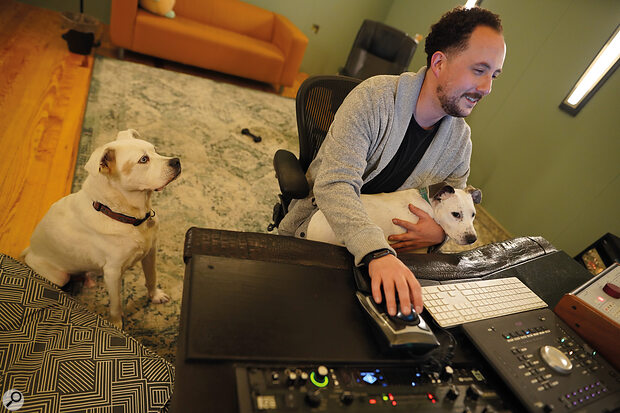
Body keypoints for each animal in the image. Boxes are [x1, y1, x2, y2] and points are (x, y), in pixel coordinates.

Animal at [21, 130, 180, 328]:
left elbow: (152, 277)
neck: (126, 216)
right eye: (143, 160)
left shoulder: (150, 252)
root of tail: (30, 250)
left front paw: (155, 296)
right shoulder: (112, 272)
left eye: (156, 150)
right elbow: (116, 304)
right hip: (58, 276)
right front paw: (117, 326)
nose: (176, 161)